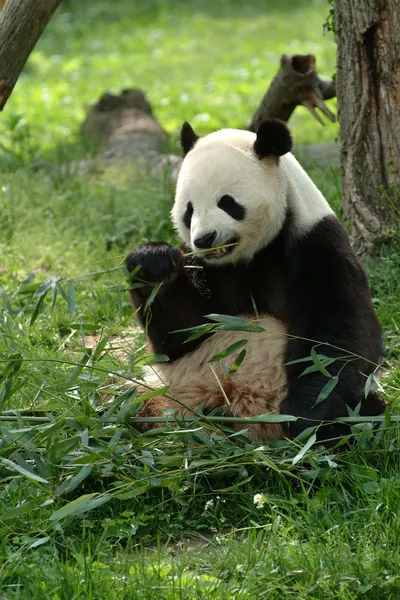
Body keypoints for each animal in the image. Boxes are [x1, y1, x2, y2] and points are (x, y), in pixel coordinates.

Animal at [124, 119, 384, 442]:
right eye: (189, 210)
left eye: (227, 203)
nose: (204, 239)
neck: (248, 256)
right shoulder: (201, 264)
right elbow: (179, 336)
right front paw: (151, 262)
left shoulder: (314, 242)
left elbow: (338, 333)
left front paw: (302, 417)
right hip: (166, 392)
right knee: (120, 400)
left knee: (364, 415)